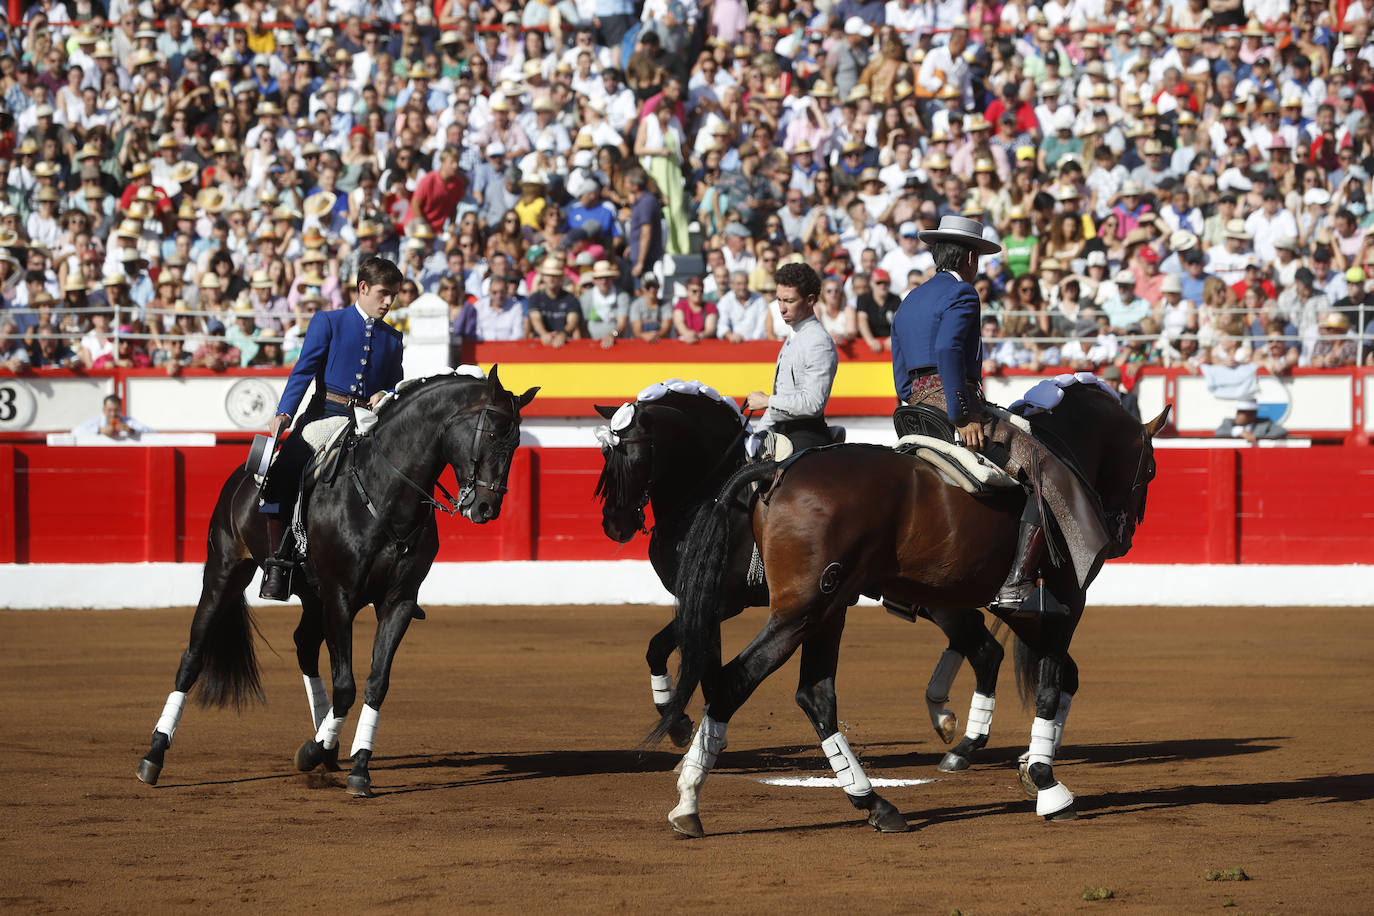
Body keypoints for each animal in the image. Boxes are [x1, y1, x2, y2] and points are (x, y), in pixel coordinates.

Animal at [132, 365, 530, 796]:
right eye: (491, 434)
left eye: (516, 441)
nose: (487, 508)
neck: (387, 493)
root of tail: (242, 475)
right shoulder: (341, 596)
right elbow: (346, 685)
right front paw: (319, 751)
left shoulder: (398, 602)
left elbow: (376, 682)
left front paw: (353, 762)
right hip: (226, 569)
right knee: (194, 654)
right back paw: (154, 754)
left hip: (312, 596)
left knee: (304, 646)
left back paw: (327, 745)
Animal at [593, 384, 1011, 769]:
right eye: (605, 452)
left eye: (634, 453)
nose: (615, 524)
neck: (706, 495)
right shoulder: (703, 602)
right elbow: (677, 654)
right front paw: (690, 732)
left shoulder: (721, 603)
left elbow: (679, 656)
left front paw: (685, 730)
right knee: (979, 643)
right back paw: (946, 722)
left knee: (984, 648)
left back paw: (959, 738)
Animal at [648, 379, 1165, 840]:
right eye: (1151, 471)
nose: (1124, 537)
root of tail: (778, 473)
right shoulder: (1065, 605)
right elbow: (1051, 683)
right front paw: (1046, 782)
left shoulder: (1024, 612)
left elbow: (1051, 674)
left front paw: (1026, 763)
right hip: (803, 610)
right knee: (736, 681)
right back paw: (689, 800)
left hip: (829, 610)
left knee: (815, 694)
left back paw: (877, 800)